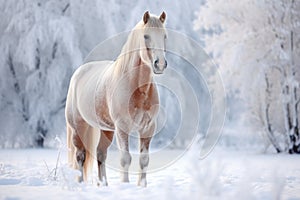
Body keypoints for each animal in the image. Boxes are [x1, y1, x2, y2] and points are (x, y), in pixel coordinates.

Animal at [65, 10, 168, 186]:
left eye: (164, 36)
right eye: (146, 36)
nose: (160, 64)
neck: (138, 88)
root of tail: (78, 73)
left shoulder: (147, 128)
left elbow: (144, 160)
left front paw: (142, 186)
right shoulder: (122, 128)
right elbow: (125, 158)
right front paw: (125, 185)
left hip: (106, 130)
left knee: (100, 154)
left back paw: (104, 185)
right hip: (78, 128)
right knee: (80, 156)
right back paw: (80, 183)